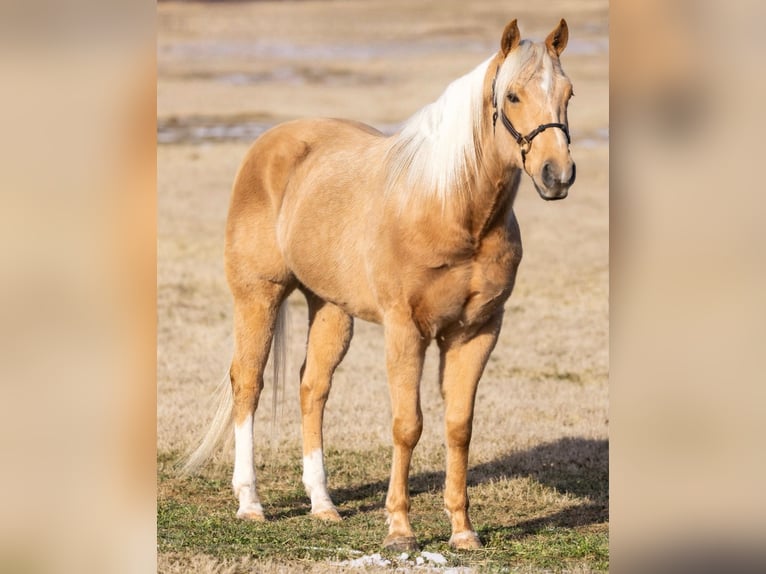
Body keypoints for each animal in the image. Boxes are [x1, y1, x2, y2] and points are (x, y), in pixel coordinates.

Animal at [184, 18, 576, 551]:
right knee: (248, 383)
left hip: (330, 308)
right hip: (258, 295)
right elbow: (408, 425)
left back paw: (323, 504)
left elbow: (459, 428)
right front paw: (400, 531)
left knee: (313, 388)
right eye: (512, 96)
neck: (450, 208)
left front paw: (463, 532)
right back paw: (250, 503)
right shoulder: (405, 330)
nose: (558, 175)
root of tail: (271, 144)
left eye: (568, 94)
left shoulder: (477, 332)